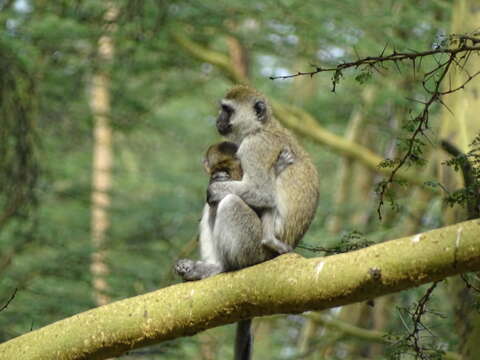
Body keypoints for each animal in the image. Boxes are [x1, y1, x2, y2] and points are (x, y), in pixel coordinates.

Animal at [176, 86, 318, 360]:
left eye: (227, 109)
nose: (217, 119)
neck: (261, 127)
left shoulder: (253, 149)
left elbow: (263, 192)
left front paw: (216, 187)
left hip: (254, 250)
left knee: (228, 202)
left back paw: (222, 267)